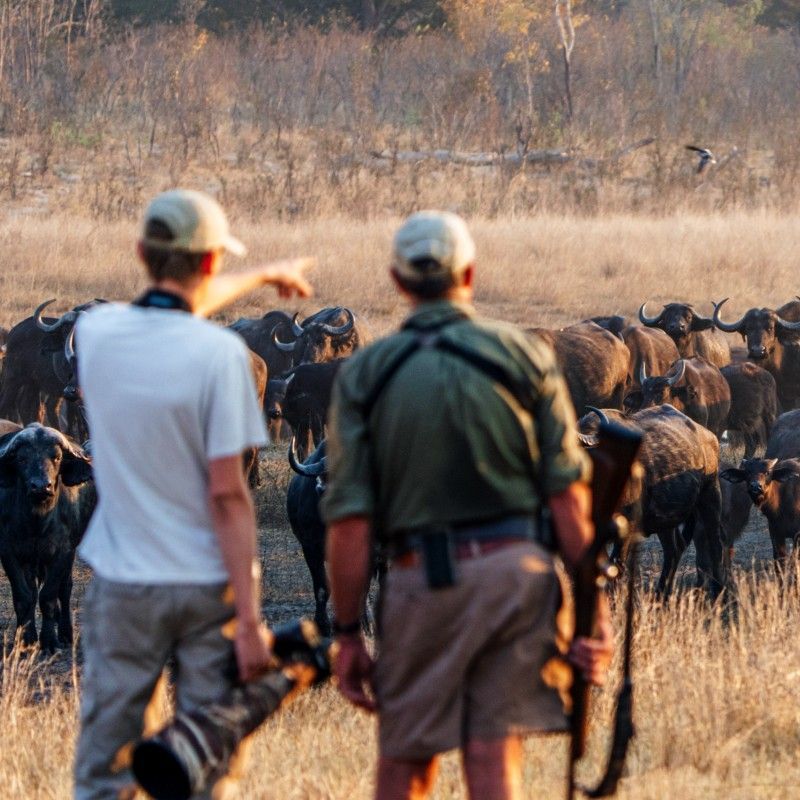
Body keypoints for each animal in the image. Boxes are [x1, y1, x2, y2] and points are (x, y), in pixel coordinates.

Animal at [0, 423, 95, 651]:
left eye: (57, 457)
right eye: (21, 458)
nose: (41, 486)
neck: (37, 521)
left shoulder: (63, 551)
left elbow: (49, 596)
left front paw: (50, 641)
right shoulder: (9, 552)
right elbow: (24, 597)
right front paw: (25, 640)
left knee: (65, 589)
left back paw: (66, 634)